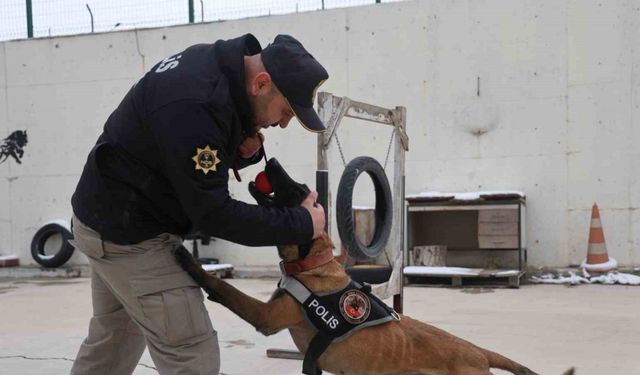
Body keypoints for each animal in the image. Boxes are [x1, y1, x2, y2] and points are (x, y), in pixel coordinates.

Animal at [175, 159, 576, 375]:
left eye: (298, 188)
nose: (270, 161)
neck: (313, 265)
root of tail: (478, 351)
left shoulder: (267, 317)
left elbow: (225, 288)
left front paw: (189, 260)